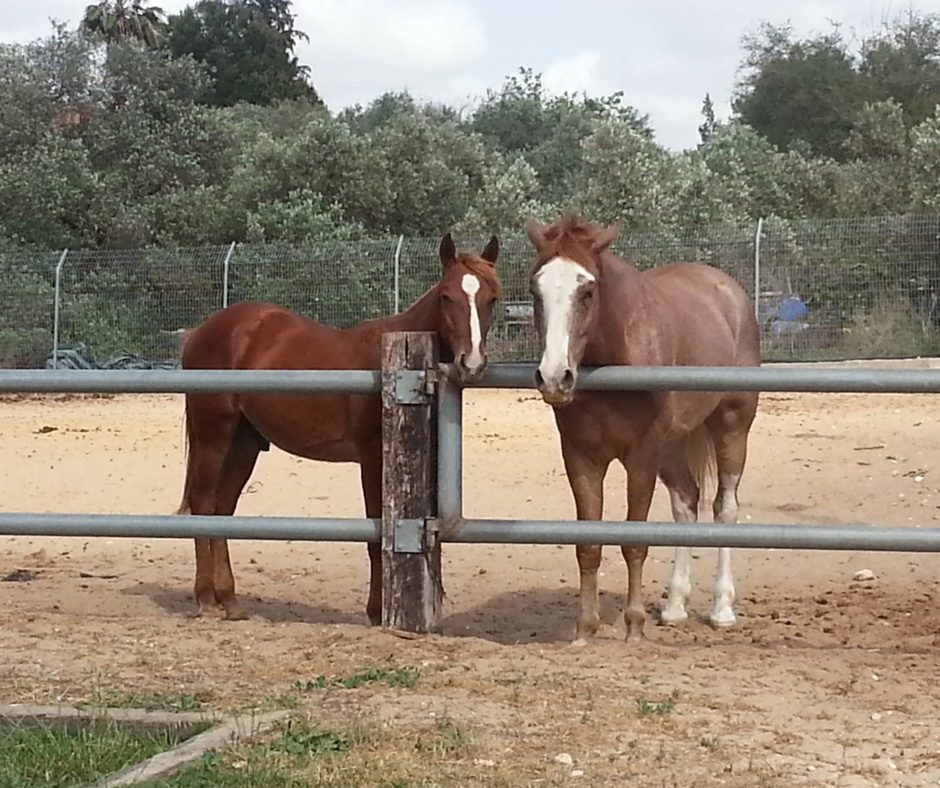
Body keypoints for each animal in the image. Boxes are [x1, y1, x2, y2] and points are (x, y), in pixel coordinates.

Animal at [176, 232, 500, 620]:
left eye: (491, 297)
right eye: (446, 296)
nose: (472, 363)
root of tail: (202, 331)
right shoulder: (373, 459)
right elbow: (376, 534)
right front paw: (376, 611)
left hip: (245, 442)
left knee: (222, 510)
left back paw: (230, 600)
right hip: (215, 435)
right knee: (203, 503)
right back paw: (206, 599)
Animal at [524, 215, 760, 640]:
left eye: (588, 291)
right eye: (535, 290)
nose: (554, 378)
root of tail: (727, 290)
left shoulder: (641, 457)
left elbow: (634, 542)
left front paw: (634, 626)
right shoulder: (581, 457)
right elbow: (588, 545)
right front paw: (585, 630)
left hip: (732, 426)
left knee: (725, 508)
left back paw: (722, 609)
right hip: (673, 447)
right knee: (687, 503)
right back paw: (675, 606)